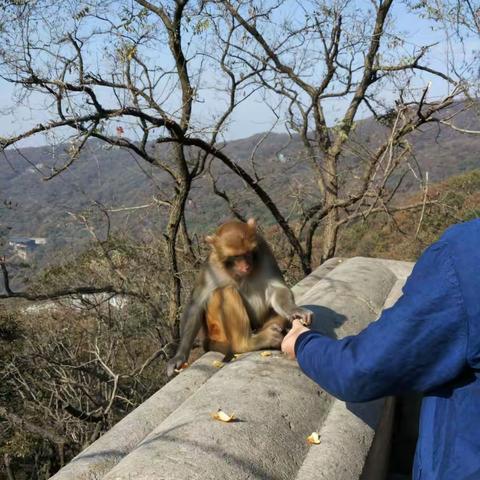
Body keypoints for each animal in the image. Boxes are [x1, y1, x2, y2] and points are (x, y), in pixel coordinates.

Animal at [167, 219, 314, 376]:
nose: (246, 266)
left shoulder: (263, 249)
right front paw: (179, 356)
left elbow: (276, 288)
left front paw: (294, 310)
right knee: (226, 291)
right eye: (236, 256)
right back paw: (248, 343)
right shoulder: (210, 267)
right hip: (217, 331)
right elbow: (196, 305)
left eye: (247, 253)